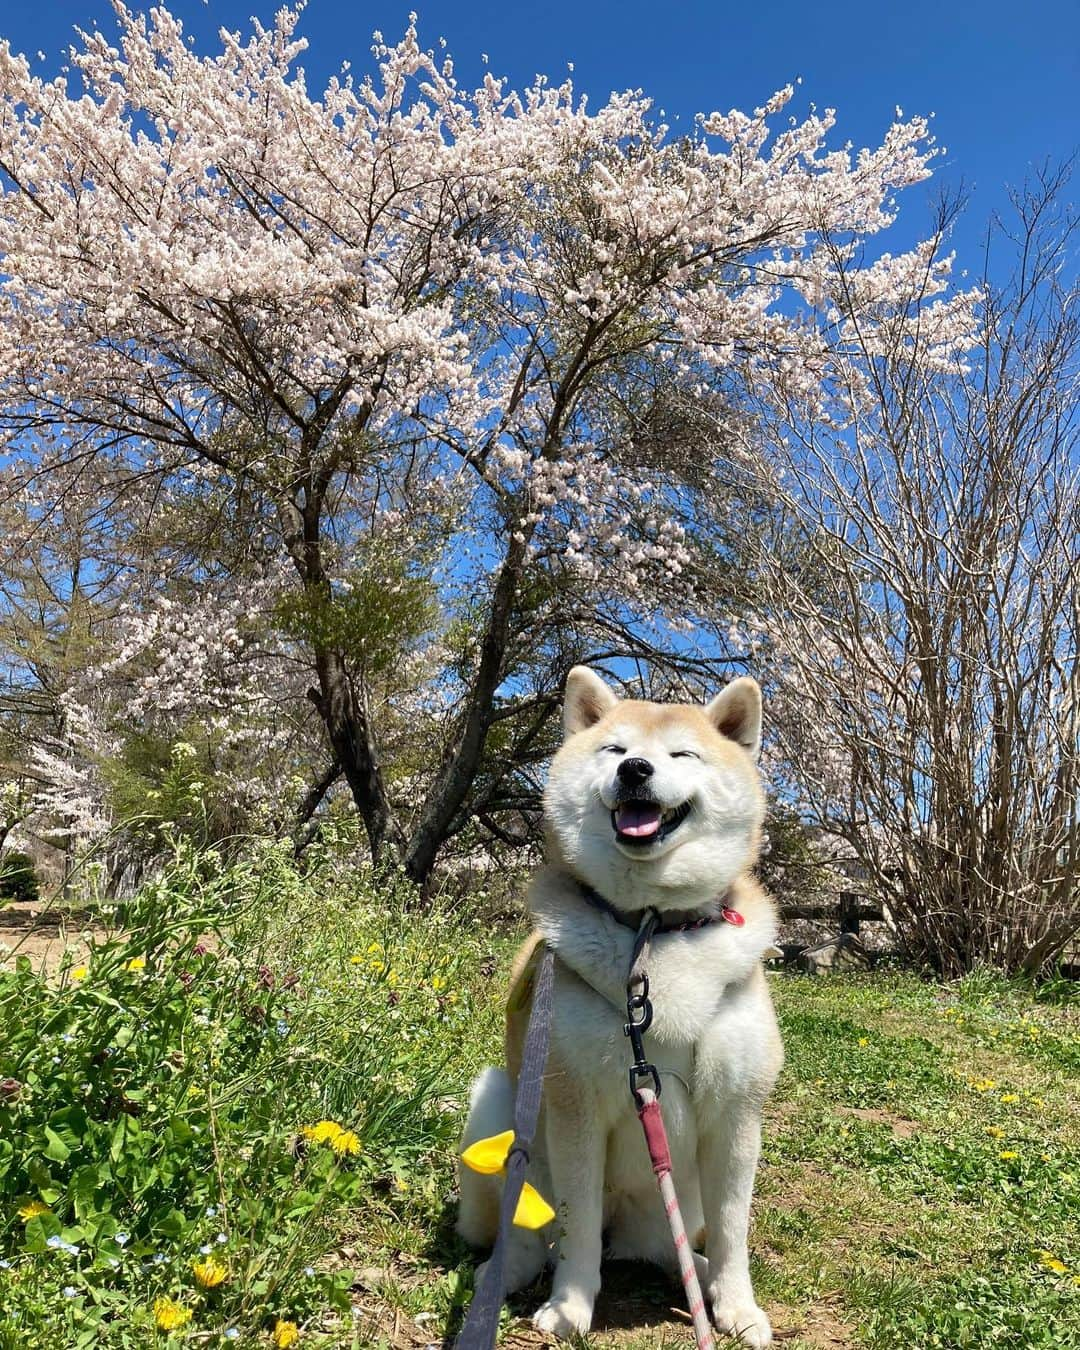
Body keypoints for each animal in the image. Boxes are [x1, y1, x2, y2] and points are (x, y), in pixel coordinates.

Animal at [459, 669, 783, 1344]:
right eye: (615, 749)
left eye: (681, 754)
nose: (635, 769)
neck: (653, 928)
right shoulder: (574, 1104)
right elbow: (577, 1225)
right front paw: (571, 1305)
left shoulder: (737, 1114)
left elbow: (734, 1229)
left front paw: (737, 1305)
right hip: (500, 1103)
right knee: (531, 1233)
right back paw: (509, 1271)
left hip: (673, 1206)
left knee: (670, 1248)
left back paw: (700, 1276)